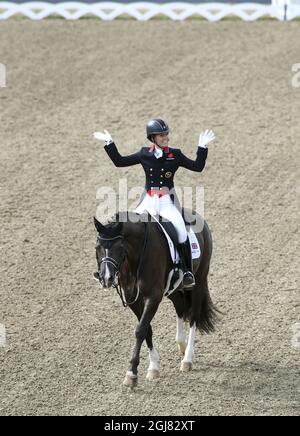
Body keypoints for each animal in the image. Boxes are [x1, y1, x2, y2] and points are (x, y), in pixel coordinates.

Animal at [94, 209, 218, 386]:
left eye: (119, 247)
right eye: (97, 247)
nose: (106, 278)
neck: (135, 255)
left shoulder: (153, 297)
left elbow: (141, 330)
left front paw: (131, 373)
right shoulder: (133, 299)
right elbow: (147, 330)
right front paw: (153, 368)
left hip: (199, 281)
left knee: (193, 316)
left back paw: (187, 359)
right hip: (172, 289)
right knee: (180, 306)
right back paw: (181, 344)